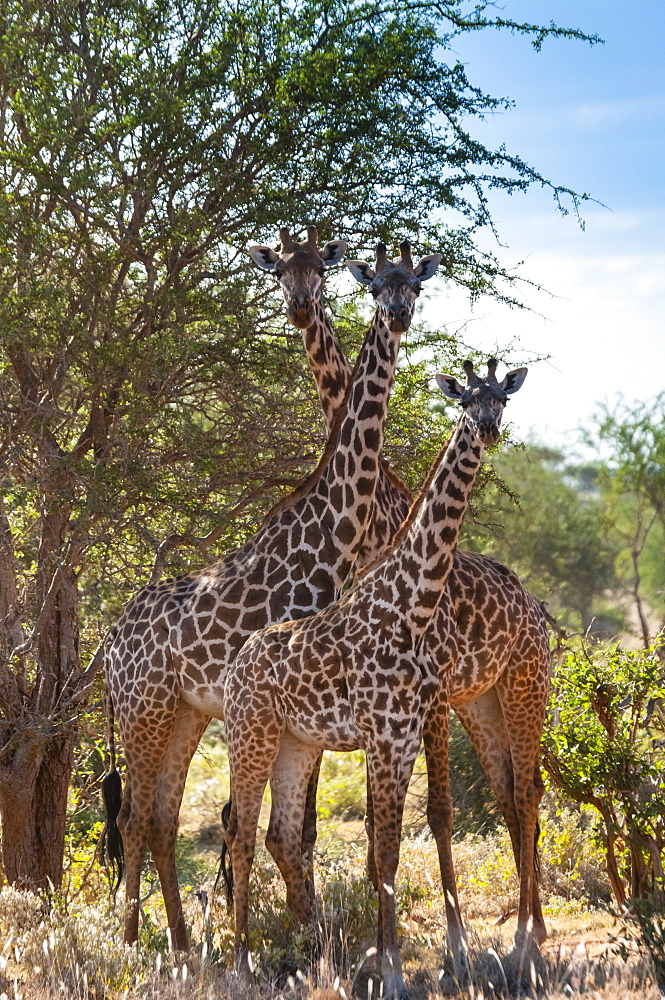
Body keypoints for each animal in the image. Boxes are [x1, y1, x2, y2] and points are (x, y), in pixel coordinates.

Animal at [101, 238, 438, 948]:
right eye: (375, 286)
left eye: (415, 286)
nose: (397, 316)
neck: (334, 532)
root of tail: (109, 643)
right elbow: (275, 824)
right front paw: (282, 927)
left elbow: (284, 824)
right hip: (144, 709)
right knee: (133, 817)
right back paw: (134, 940)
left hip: (184, 713)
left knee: (160, 817)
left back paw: (179, 941)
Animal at [223, 358, 528, 992]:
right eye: (466, 400)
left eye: (503, 400)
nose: (488, 430)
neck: (413, 604)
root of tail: (238, 661)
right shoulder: (384, 736)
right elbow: (385, 850)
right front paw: (392, 974)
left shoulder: (404, 733)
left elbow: (391, 845)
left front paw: (392, 965)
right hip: (250, 736)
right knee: (240, 834)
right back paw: (240, 965)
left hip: (295, 744)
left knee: (277, 832)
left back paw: (305, 951)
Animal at [249, 227, 548, 944]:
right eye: (372, 285)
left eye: (414, 284)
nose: (301, 309)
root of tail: (532, 606)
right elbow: (367, 816)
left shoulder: (425, 694)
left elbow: (433, 810)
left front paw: (449, 937)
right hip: (480, 700)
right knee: (508, 788)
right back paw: (527, 923)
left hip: (521, 684)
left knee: (528, 788)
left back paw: (534, 927)